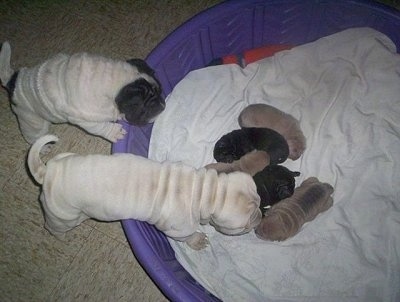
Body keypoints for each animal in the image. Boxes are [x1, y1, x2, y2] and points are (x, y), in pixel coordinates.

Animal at [0, 41, 165, 144]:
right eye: (145, 109)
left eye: (160, 90)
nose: (163, 104)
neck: (116, 81)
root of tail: (14, 80)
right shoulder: (85, 120)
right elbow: (101, 127)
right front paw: (115, 132)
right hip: (31, 120)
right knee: (34, 134)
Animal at [26, 134, 260, 250]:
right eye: (244, 226)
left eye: (258, 198)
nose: (260, 214)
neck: (207, 191)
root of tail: (48, 172)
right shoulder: (179, 230)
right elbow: (189, 235)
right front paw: (197, 241)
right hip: (64, 215)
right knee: (54, 226)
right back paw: (61, 237)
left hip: (65, 158)